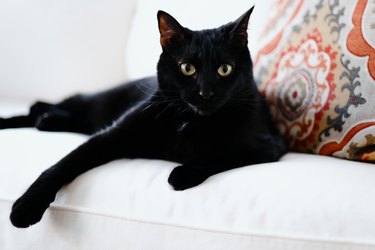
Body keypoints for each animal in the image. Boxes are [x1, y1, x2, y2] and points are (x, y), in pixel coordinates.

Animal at [1, 7, 286, 229]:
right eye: (187, 68)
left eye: (225, 69)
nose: (206, 92)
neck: (191, 121)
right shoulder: (111, 135)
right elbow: (62, 164)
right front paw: (25, 207)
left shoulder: (268, 146)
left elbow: (223, 155)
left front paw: (182, 174)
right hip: (93, 104)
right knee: (42, 108)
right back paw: (38, 117)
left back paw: (47, 120)